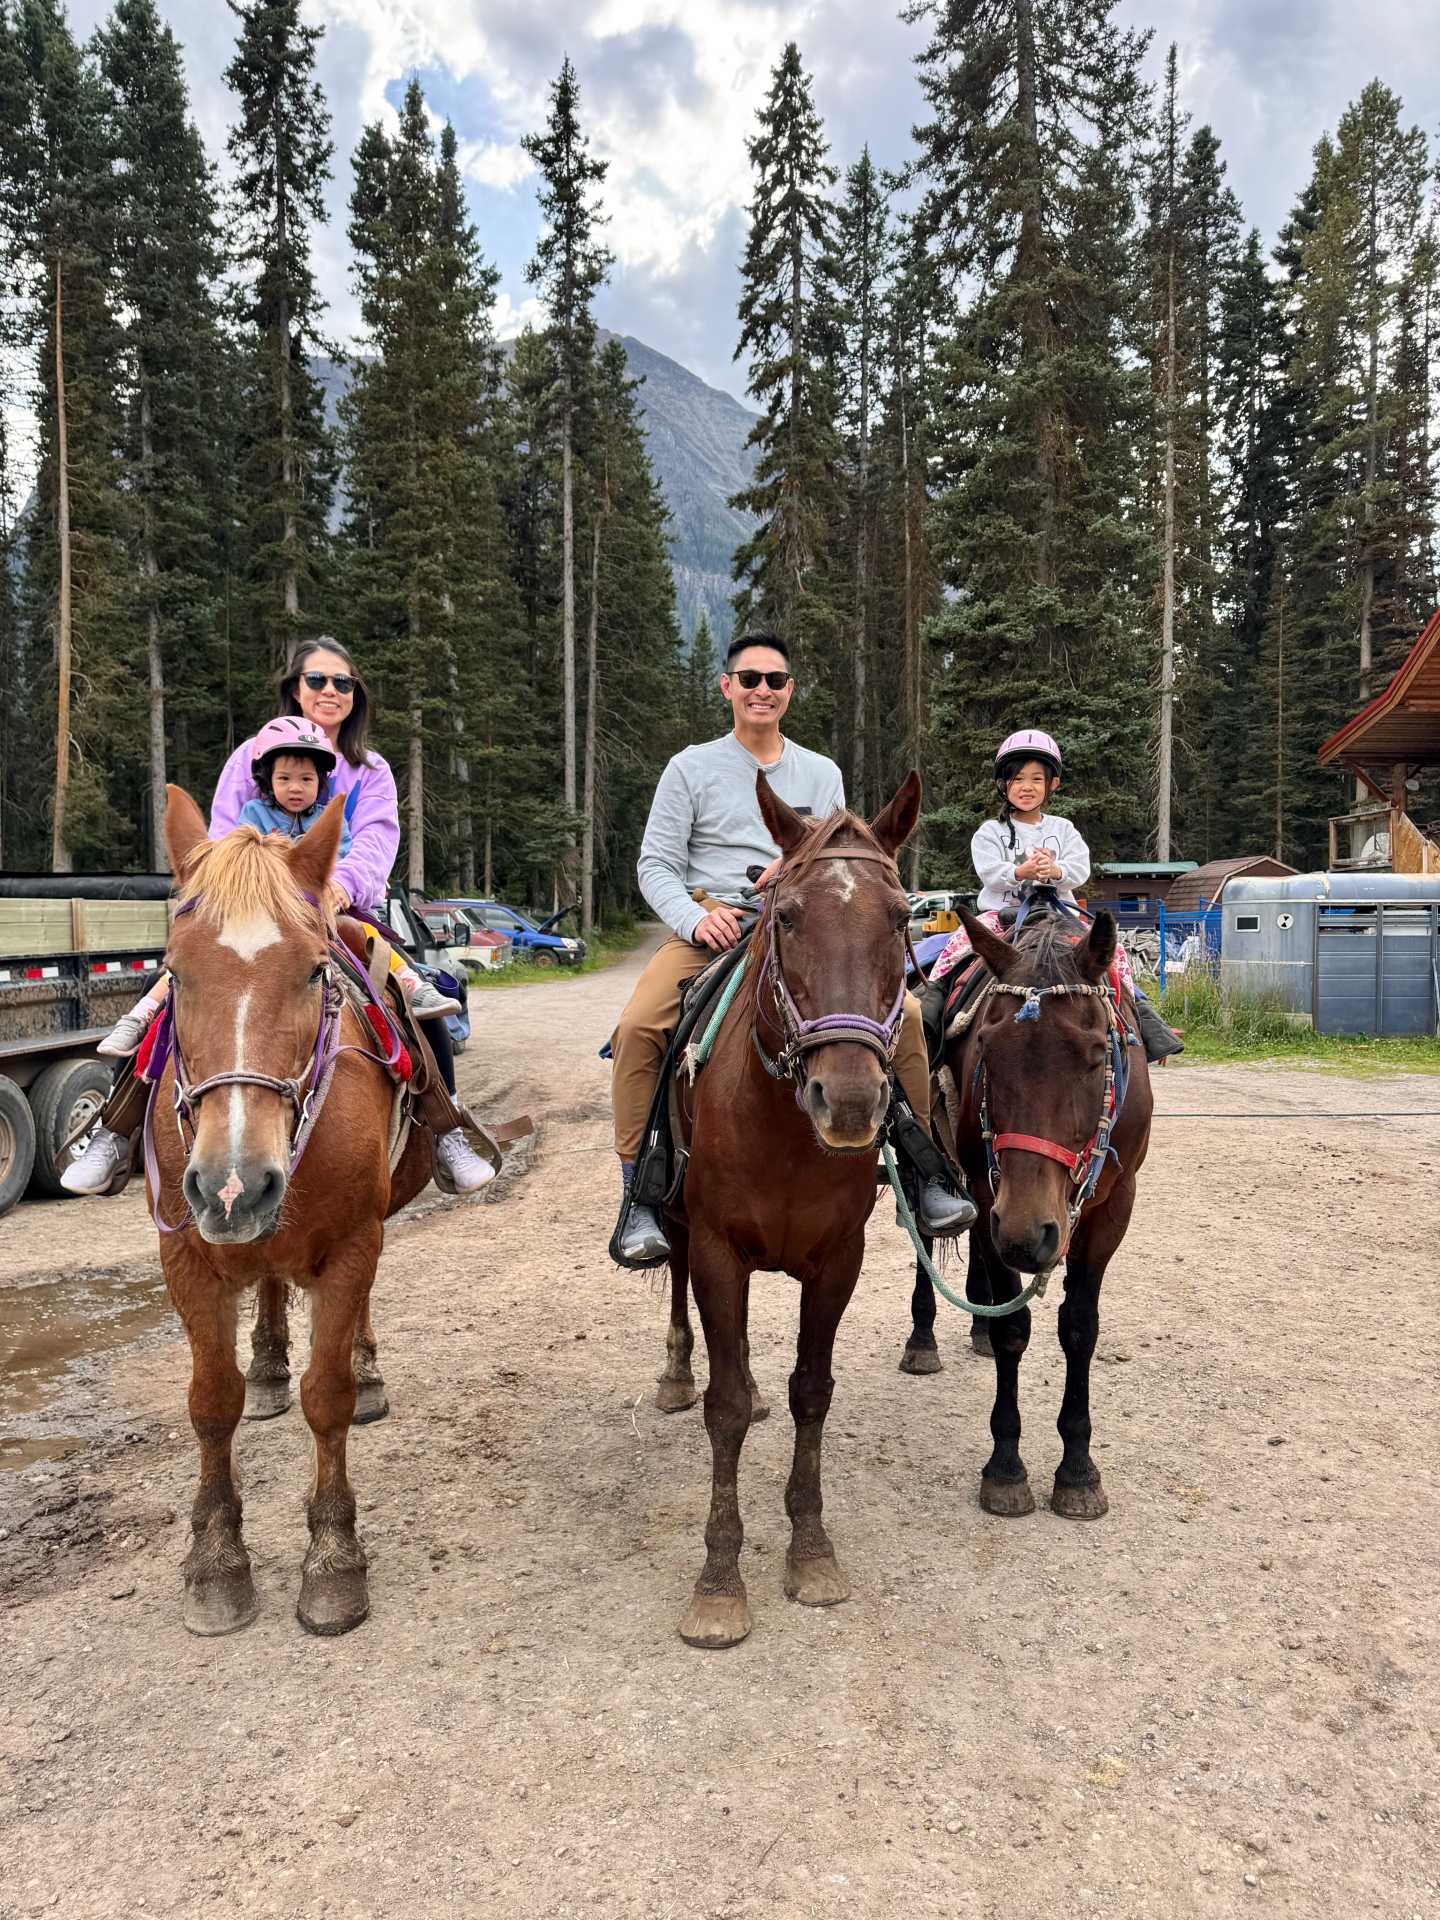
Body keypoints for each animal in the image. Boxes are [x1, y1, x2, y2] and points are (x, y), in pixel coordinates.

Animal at [155, 787, 433, 1643]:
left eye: (314, 972)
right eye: (173, 971)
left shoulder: (351, 1243)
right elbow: (212, 1403)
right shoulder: (186, 1257)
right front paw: (217, 1563)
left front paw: (334, 1562)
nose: (234, 1184)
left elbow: (328, 1396)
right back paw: (270, 1363)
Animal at [660, 775, 917, 1651]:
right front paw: (716, 1581)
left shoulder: (838, 1260)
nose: (849, 1100)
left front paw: (811, 1550)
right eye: (789, 917)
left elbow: (812, 1391)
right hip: (679, 1231)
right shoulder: (716, 1252)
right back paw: (677, 1371)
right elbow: (726, 1407)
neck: (781, 1123)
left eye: (901, 917)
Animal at [917, 906, 1159, 1520]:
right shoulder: (991, 1200)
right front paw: (1006, 1469)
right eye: (986, 1047)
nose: (1029, 1236)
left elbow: (1079, 1328)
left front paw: (1077, 1470)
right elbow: (1014, 1331)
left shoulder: (1111, 1211)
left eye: (1097, 1056)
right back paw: (922, 1341)